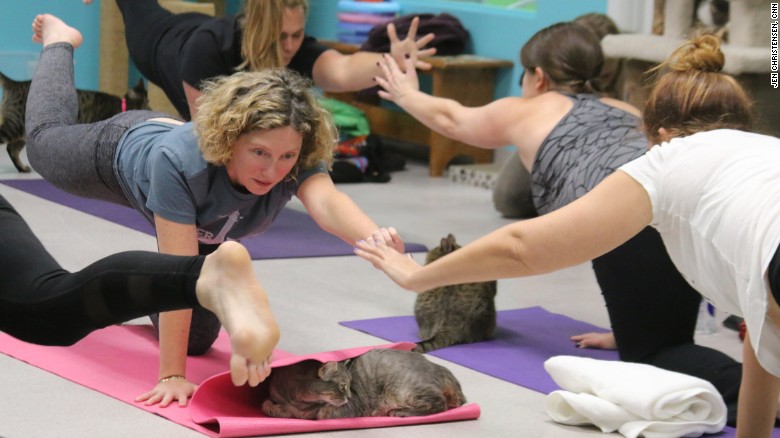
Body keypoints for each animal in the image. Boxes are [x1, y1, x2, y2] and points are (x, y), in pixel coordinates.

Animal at [0, 72, 148, 173]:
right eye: (147, 103)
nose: (151, 108)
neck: (121, 106)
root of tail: (16, 84)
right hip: (14, 126)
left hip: (24, 133)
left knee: (11, 148)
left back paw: (22, 168)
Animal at [262, 348, 470, 420]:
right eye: (343, 386)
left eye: (349, 386)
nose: (348, 396)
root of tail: (440, 368)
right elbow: (269, 406)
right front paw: (274, 407)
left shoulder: (352, 405)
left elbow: (321, 413)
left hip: (406, 389)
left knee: (440, 404)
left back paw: (400, 412)